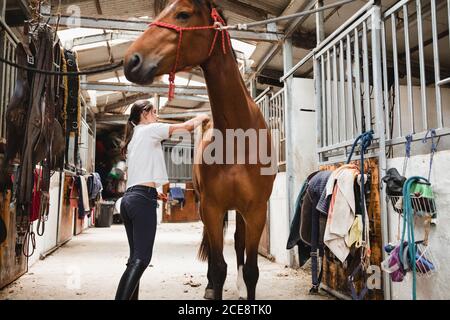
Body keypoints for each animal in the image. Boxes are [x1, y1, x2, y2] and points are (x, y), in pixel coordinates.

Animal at [125, 0, 276, 300]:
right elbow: (218, 268)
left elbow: (251, 270)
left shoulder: (256, 210)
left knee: (238, 243)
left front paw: (246, 286)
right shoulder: (211, 207)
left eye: (183, 14)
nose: (131, 60)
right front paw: (212, 285)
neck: (238, 138)